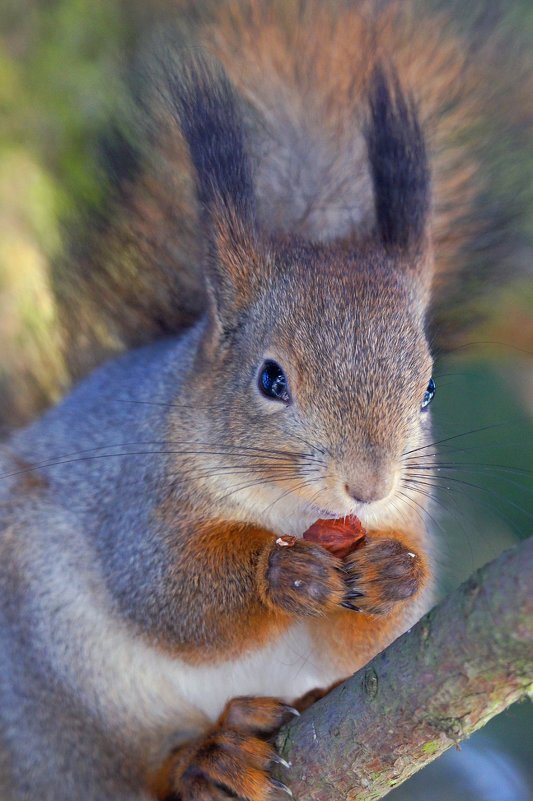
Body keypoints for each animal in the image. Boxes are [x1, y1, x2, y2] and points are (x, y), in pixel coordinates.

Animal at [0, 1, 524, 800]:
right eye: (270, 379)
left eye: (428, 387)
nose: (367, 486)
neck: (294, 514)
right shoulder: (137, 500)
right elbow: (168, 594)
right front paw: (282, 574)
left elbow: (373, 643)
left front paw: (393, 573)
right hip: (58, 697)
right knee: (121, 767)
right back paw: (203, 758)